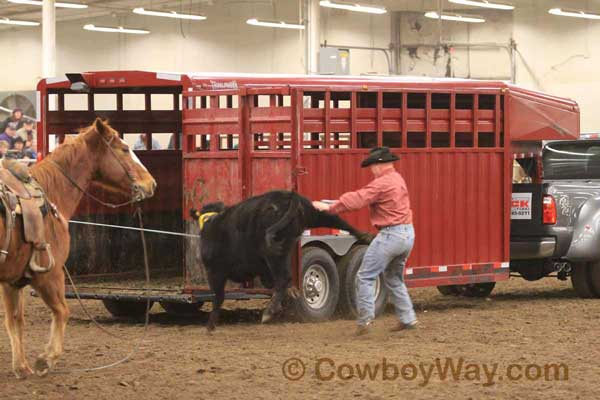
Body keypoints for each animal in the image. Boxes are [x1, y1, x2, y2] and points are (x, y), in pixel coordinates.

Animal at [0, 118, 157, 378]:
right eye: (124, 149)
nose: (150, 183)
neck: (50, 194)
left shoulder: (12, 280)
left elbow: (14, 321)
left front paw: (21, 367)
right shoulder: (49, 274)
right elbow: (62, 311)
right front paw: (46, 359)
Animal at [192, 191, 370, 332]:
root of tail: (289, 197)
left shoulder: (215, 272)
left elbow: (218, 297)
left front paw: (210, 326)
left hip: (273, 254)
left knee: (282, 278)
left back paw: (268, 312)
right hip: (312, 217)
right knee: (336, 219)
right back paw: (364, 236)